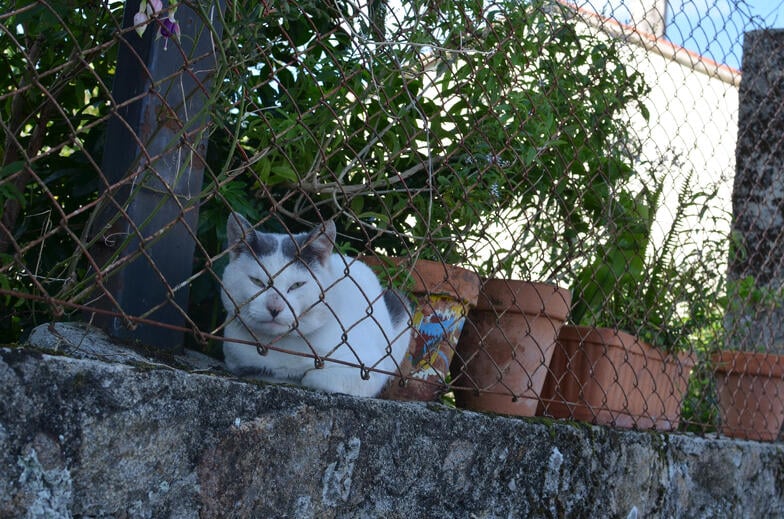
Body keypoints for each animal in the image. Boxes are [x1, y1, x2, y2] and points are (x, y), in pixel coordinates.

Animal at [217, 212, 414, 398]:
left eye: (297, 285)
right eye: (257, 282)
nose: (275, 308)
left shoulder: (367, 369)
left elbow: (314, 378)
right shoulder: (235, 358)